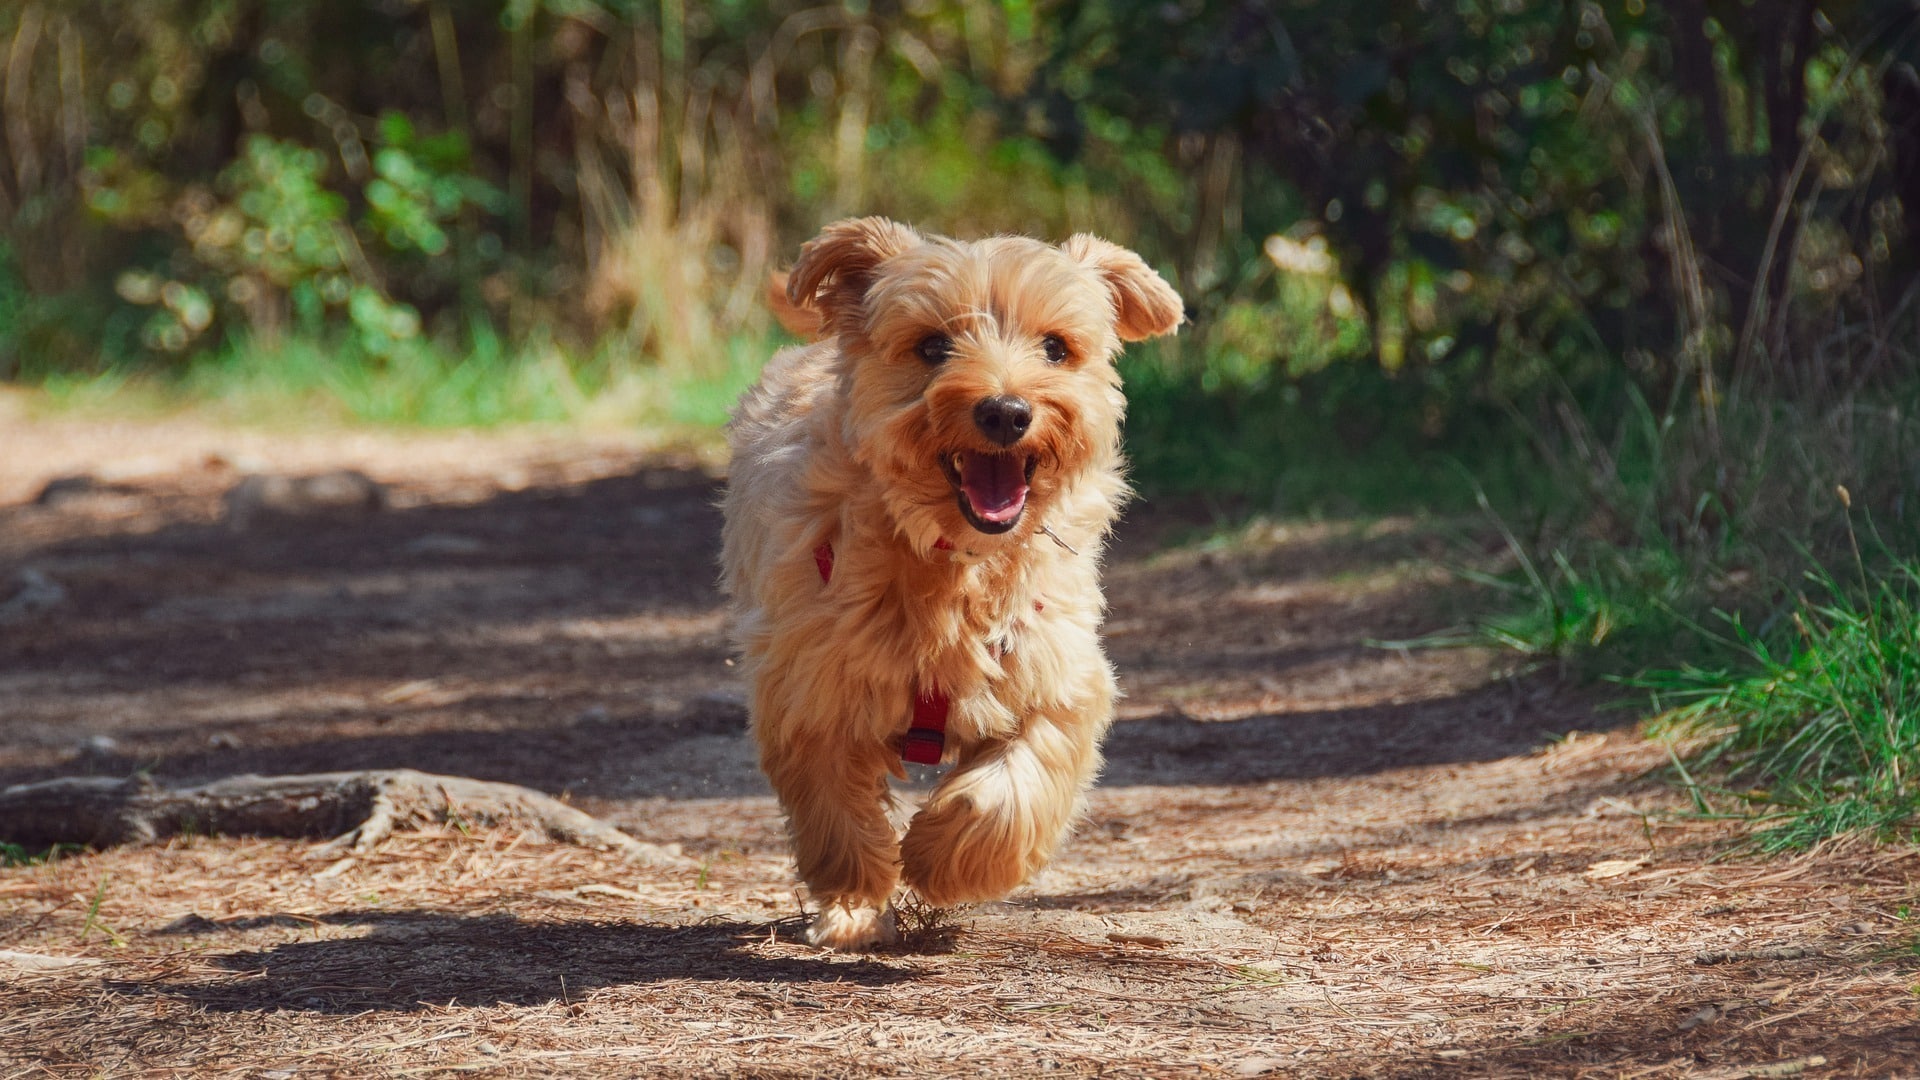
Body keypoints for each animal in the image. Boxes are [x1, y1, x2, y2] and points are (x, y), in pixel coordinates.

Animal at [721, 214, 1182, 945]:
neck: (954, 563)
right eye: (933, 346)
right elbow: (836, 809)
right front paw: (855, 902)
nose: (1006, 412)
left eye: (1056, 347)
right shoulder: (811, 685)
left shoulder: (1057, 675)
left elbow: (1013, 787)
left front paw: (941, 859)